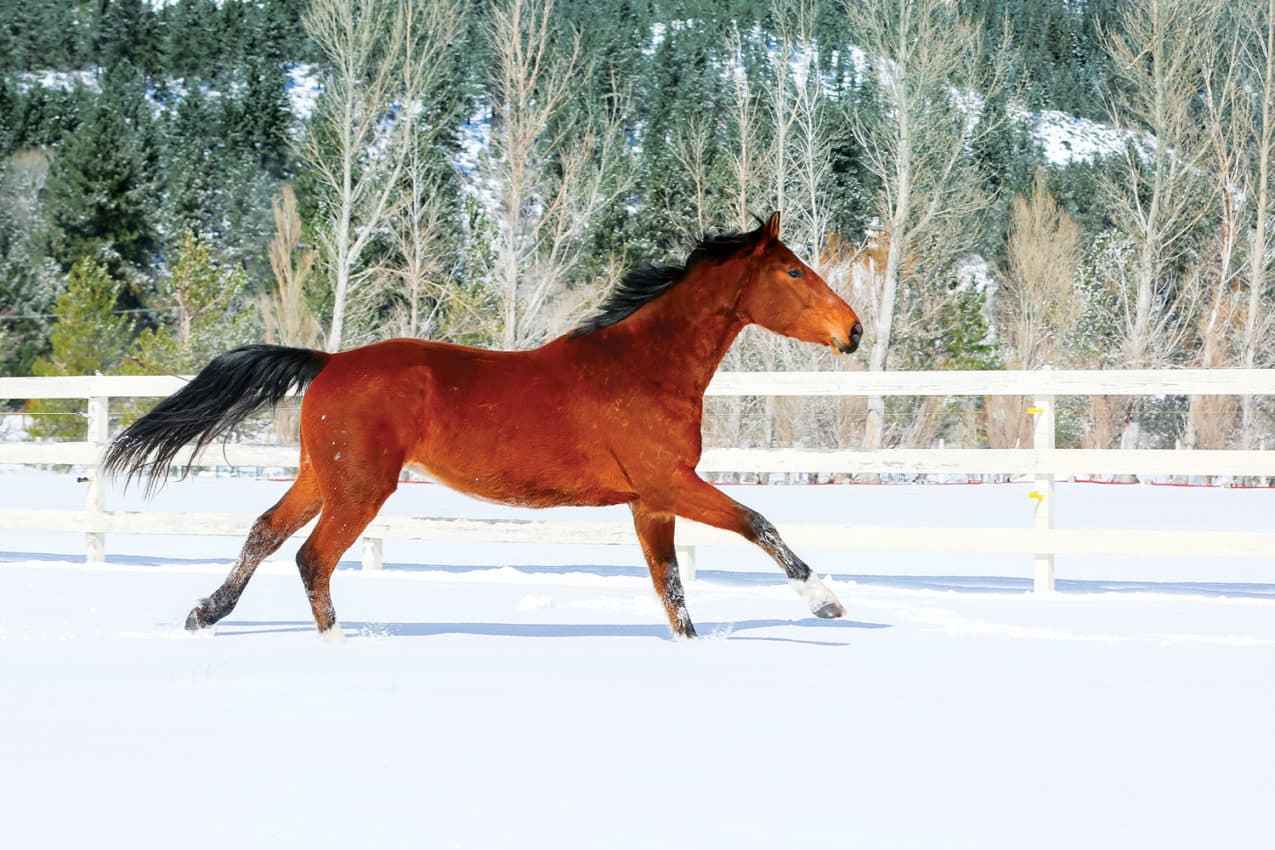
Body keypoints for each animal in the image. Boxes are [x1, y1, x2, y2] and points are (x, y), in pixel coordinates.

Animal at [104, 212, 861, 637]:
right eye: (794, 272)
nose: (852, 331)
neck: (645, 368)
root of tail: (329, 361)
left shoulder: (650, 504)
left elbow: (671, 589)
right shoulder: (668, 483)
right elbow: (758, 522)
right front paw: (825, 603)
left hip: (322, 477)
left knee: (265, 533)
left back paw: (205, 613)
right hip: (361, 488)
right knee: (312, 557)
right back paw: (336, 645)